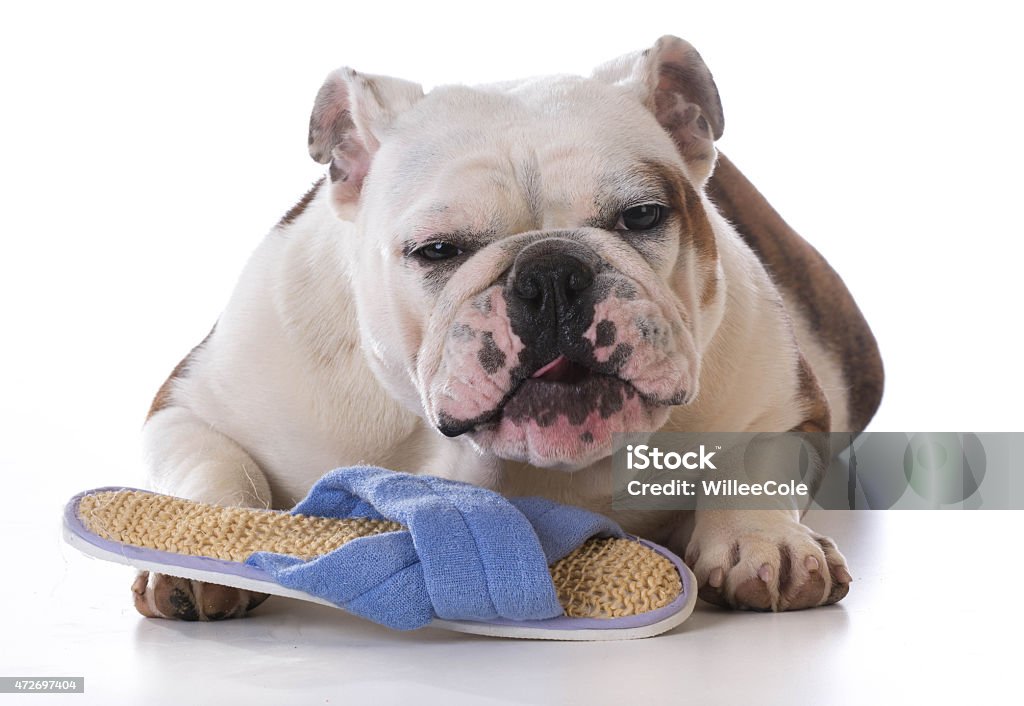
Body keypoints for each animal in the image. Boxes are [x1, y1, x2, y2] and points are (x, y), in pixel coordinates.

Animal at [134, 37, 880, 623]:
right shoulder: (194, 405)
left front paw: (764, 542)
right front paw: (196, 553)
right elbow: (215, 468)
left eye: (641, 216)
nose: (551, 274)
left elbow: (754, 464)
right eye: (437, 250)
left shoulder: (781, 401)